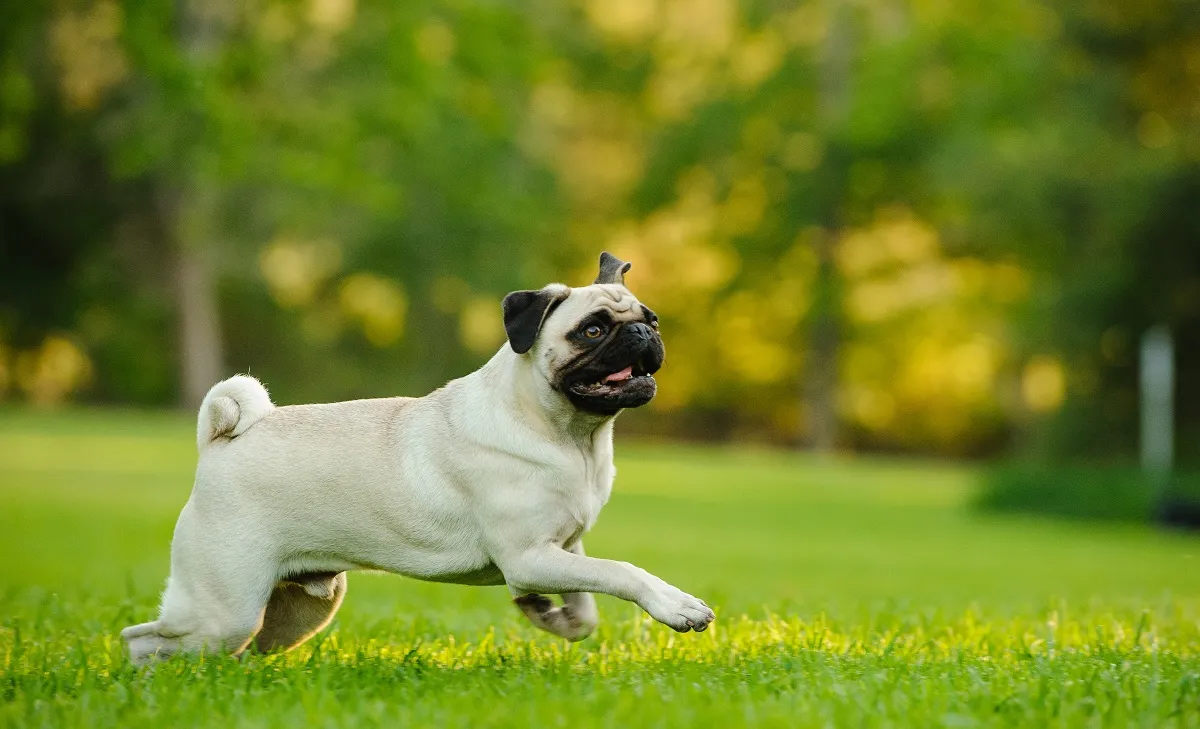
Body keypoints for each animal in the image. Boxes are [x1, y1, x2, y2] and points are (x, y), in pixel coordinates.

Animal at [124, 251, 710, 666]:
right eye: (592, 330)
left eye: (653, 319)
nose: (643, 331)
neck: (571, 438)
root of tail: (220, 442)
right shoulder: (529, 555)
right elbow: (620, 572)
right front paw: (676, 605)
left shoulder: (561, 547)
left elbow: (586, 604)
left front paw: (548, 615)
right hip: (225, 607)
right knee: (145, 641)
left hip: (300, 607)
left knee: (235, 651)